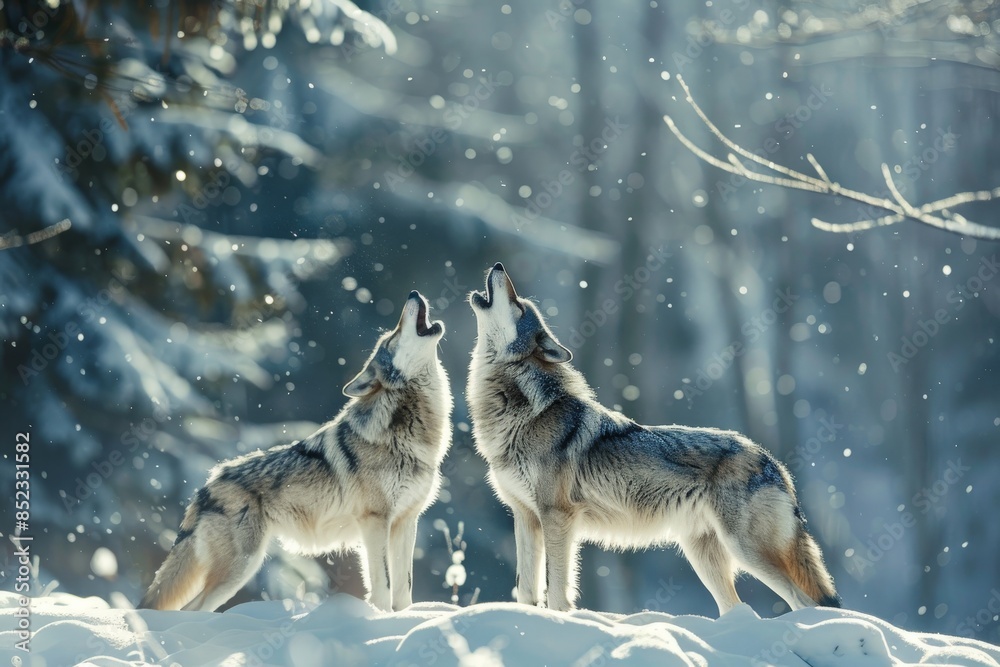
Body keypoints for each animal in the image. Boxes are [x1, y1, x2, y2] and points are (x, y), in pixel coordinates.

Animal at [141, 291, 451, 612]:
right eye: (391, 338)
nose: (413, 293)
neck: (412, 434)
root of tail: (207, 485)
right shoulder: (375, 521)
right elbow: (384, 585)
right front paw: (380, 616)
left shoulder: (406, 522)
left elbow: (404, 588)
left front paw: (407, 617)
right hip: (241, 568)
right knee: (191, 609)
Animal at [466, 263, 839, 615]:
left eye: (518, 305)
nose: (498, 266)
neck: (522, 412)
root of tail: (774, 463)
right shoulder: (524, 517)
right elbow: (526, 591)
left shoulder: (557, 518)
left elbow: (557, 590)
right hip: (704, 556)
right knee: (739, 608)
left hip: (746, 550)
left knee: (804, 601)